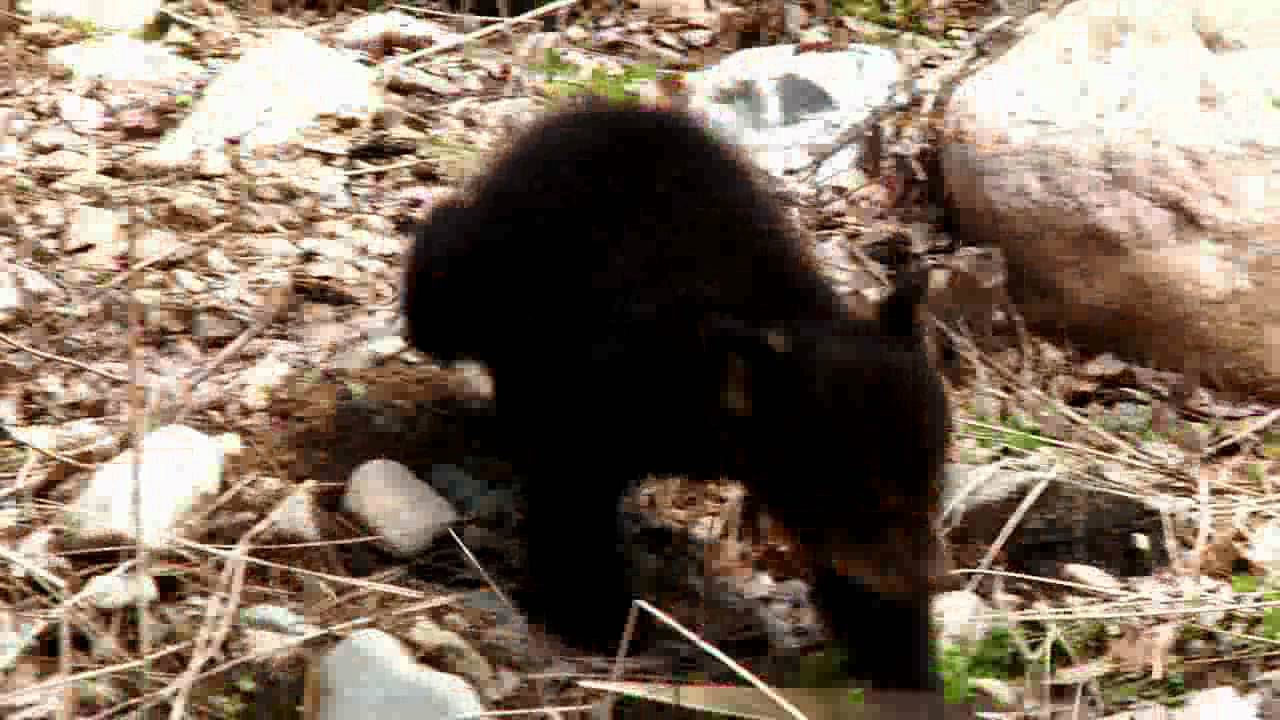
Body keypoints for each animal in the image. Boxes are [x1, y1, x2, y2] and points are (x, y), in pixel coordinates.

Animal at [401, 96, 951, 692]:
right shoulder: (605, 391)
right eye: (863, 494)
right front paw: (593, 616)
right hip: (477, 282)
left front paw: (906, 666)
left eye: (935, 482)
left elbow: (856, 578)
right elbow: (569, 490)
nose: (935, 579)